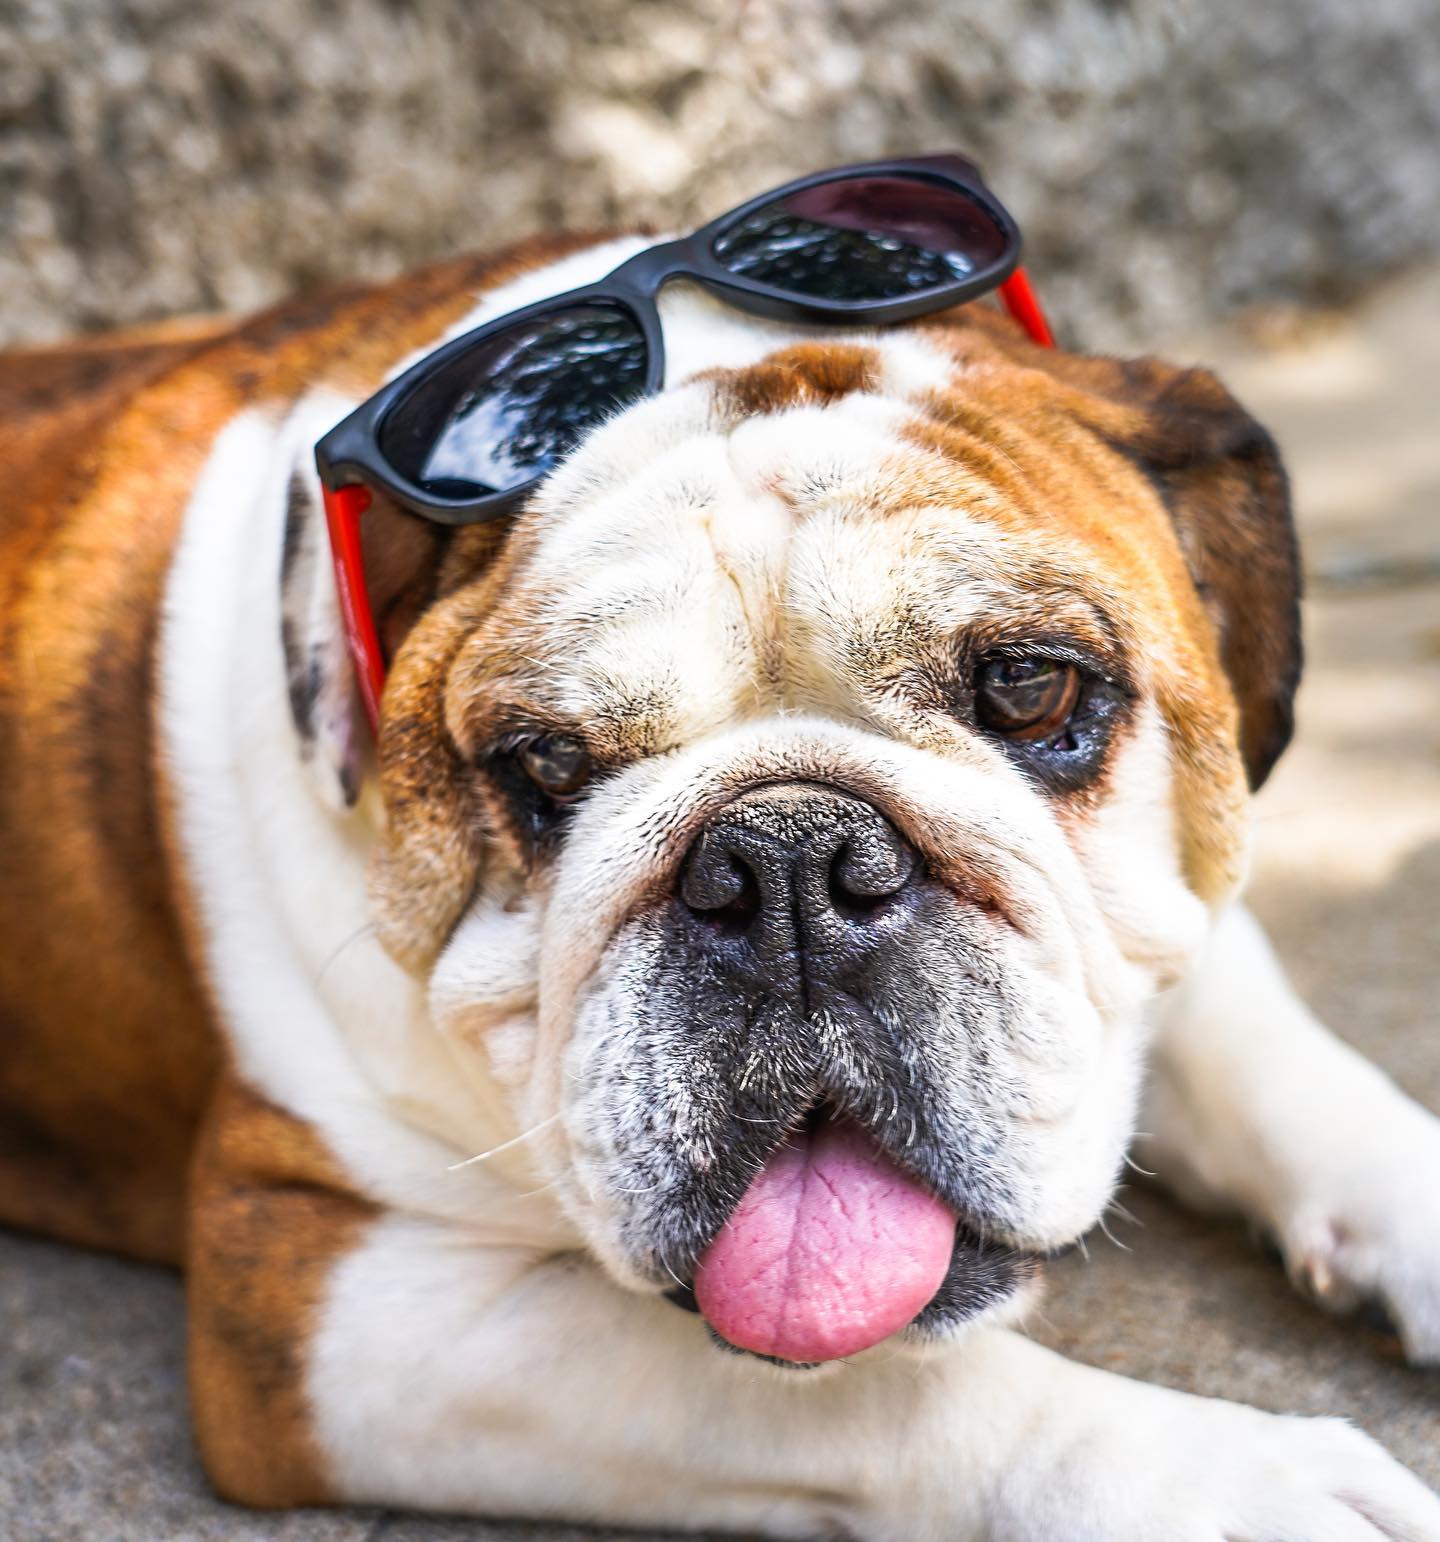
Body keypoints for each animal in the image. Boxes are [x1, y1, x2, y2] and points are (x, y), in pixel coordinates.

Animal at [3, 226, 1440, 1541]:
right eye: (546, 764)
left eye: (1031, 686)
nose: (789, 858)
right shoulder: (322, 1303)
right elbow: (879, 1396)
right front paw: (1231, 1482)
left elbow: (1255, 1039)